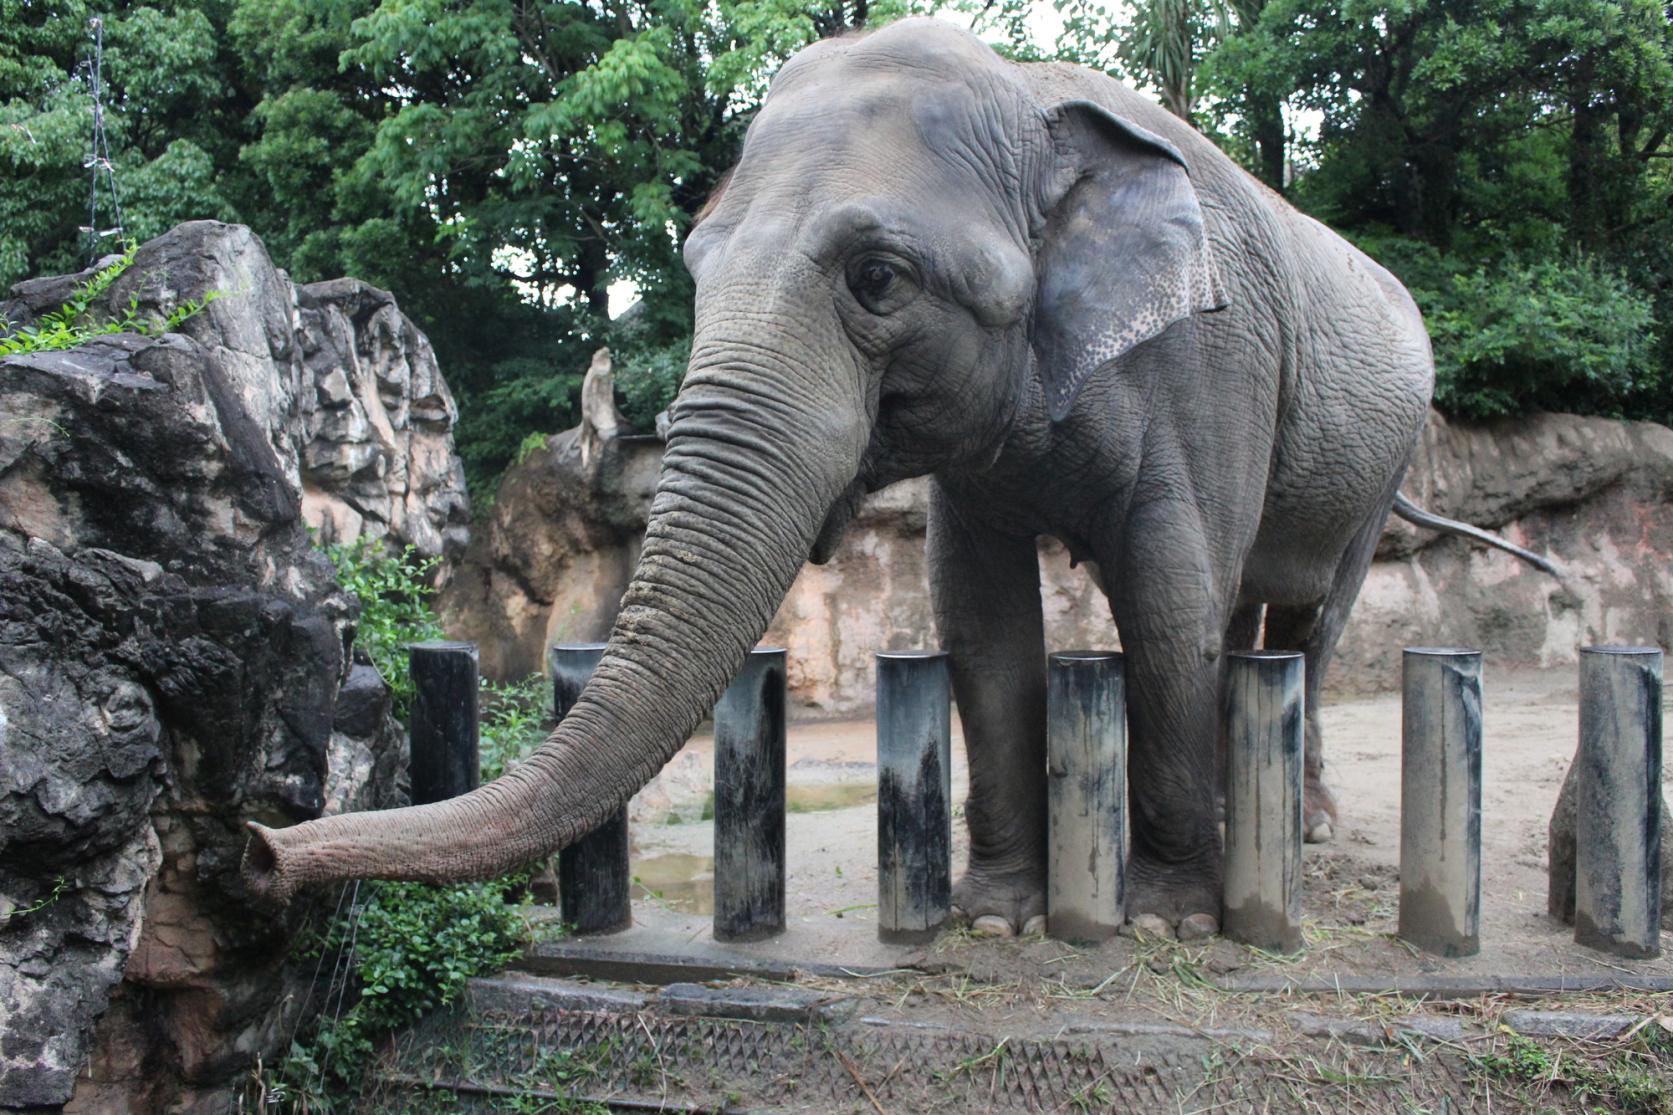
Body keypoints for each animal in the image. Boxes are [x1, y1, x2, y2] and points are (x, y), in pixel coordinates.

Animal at [244, 21, 1552, 930]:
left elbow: (1166, 597)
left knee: (1297, 620)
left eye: (877, 278)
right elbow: (977, 615)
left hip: (1382, 451)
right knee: (1251, 622)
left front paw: (1168, 921)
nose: (260, 851)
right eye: (695, 263)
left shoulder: (1209, 364)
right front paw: (998, 916)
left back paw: (1306, 827)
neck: (1031, 98)